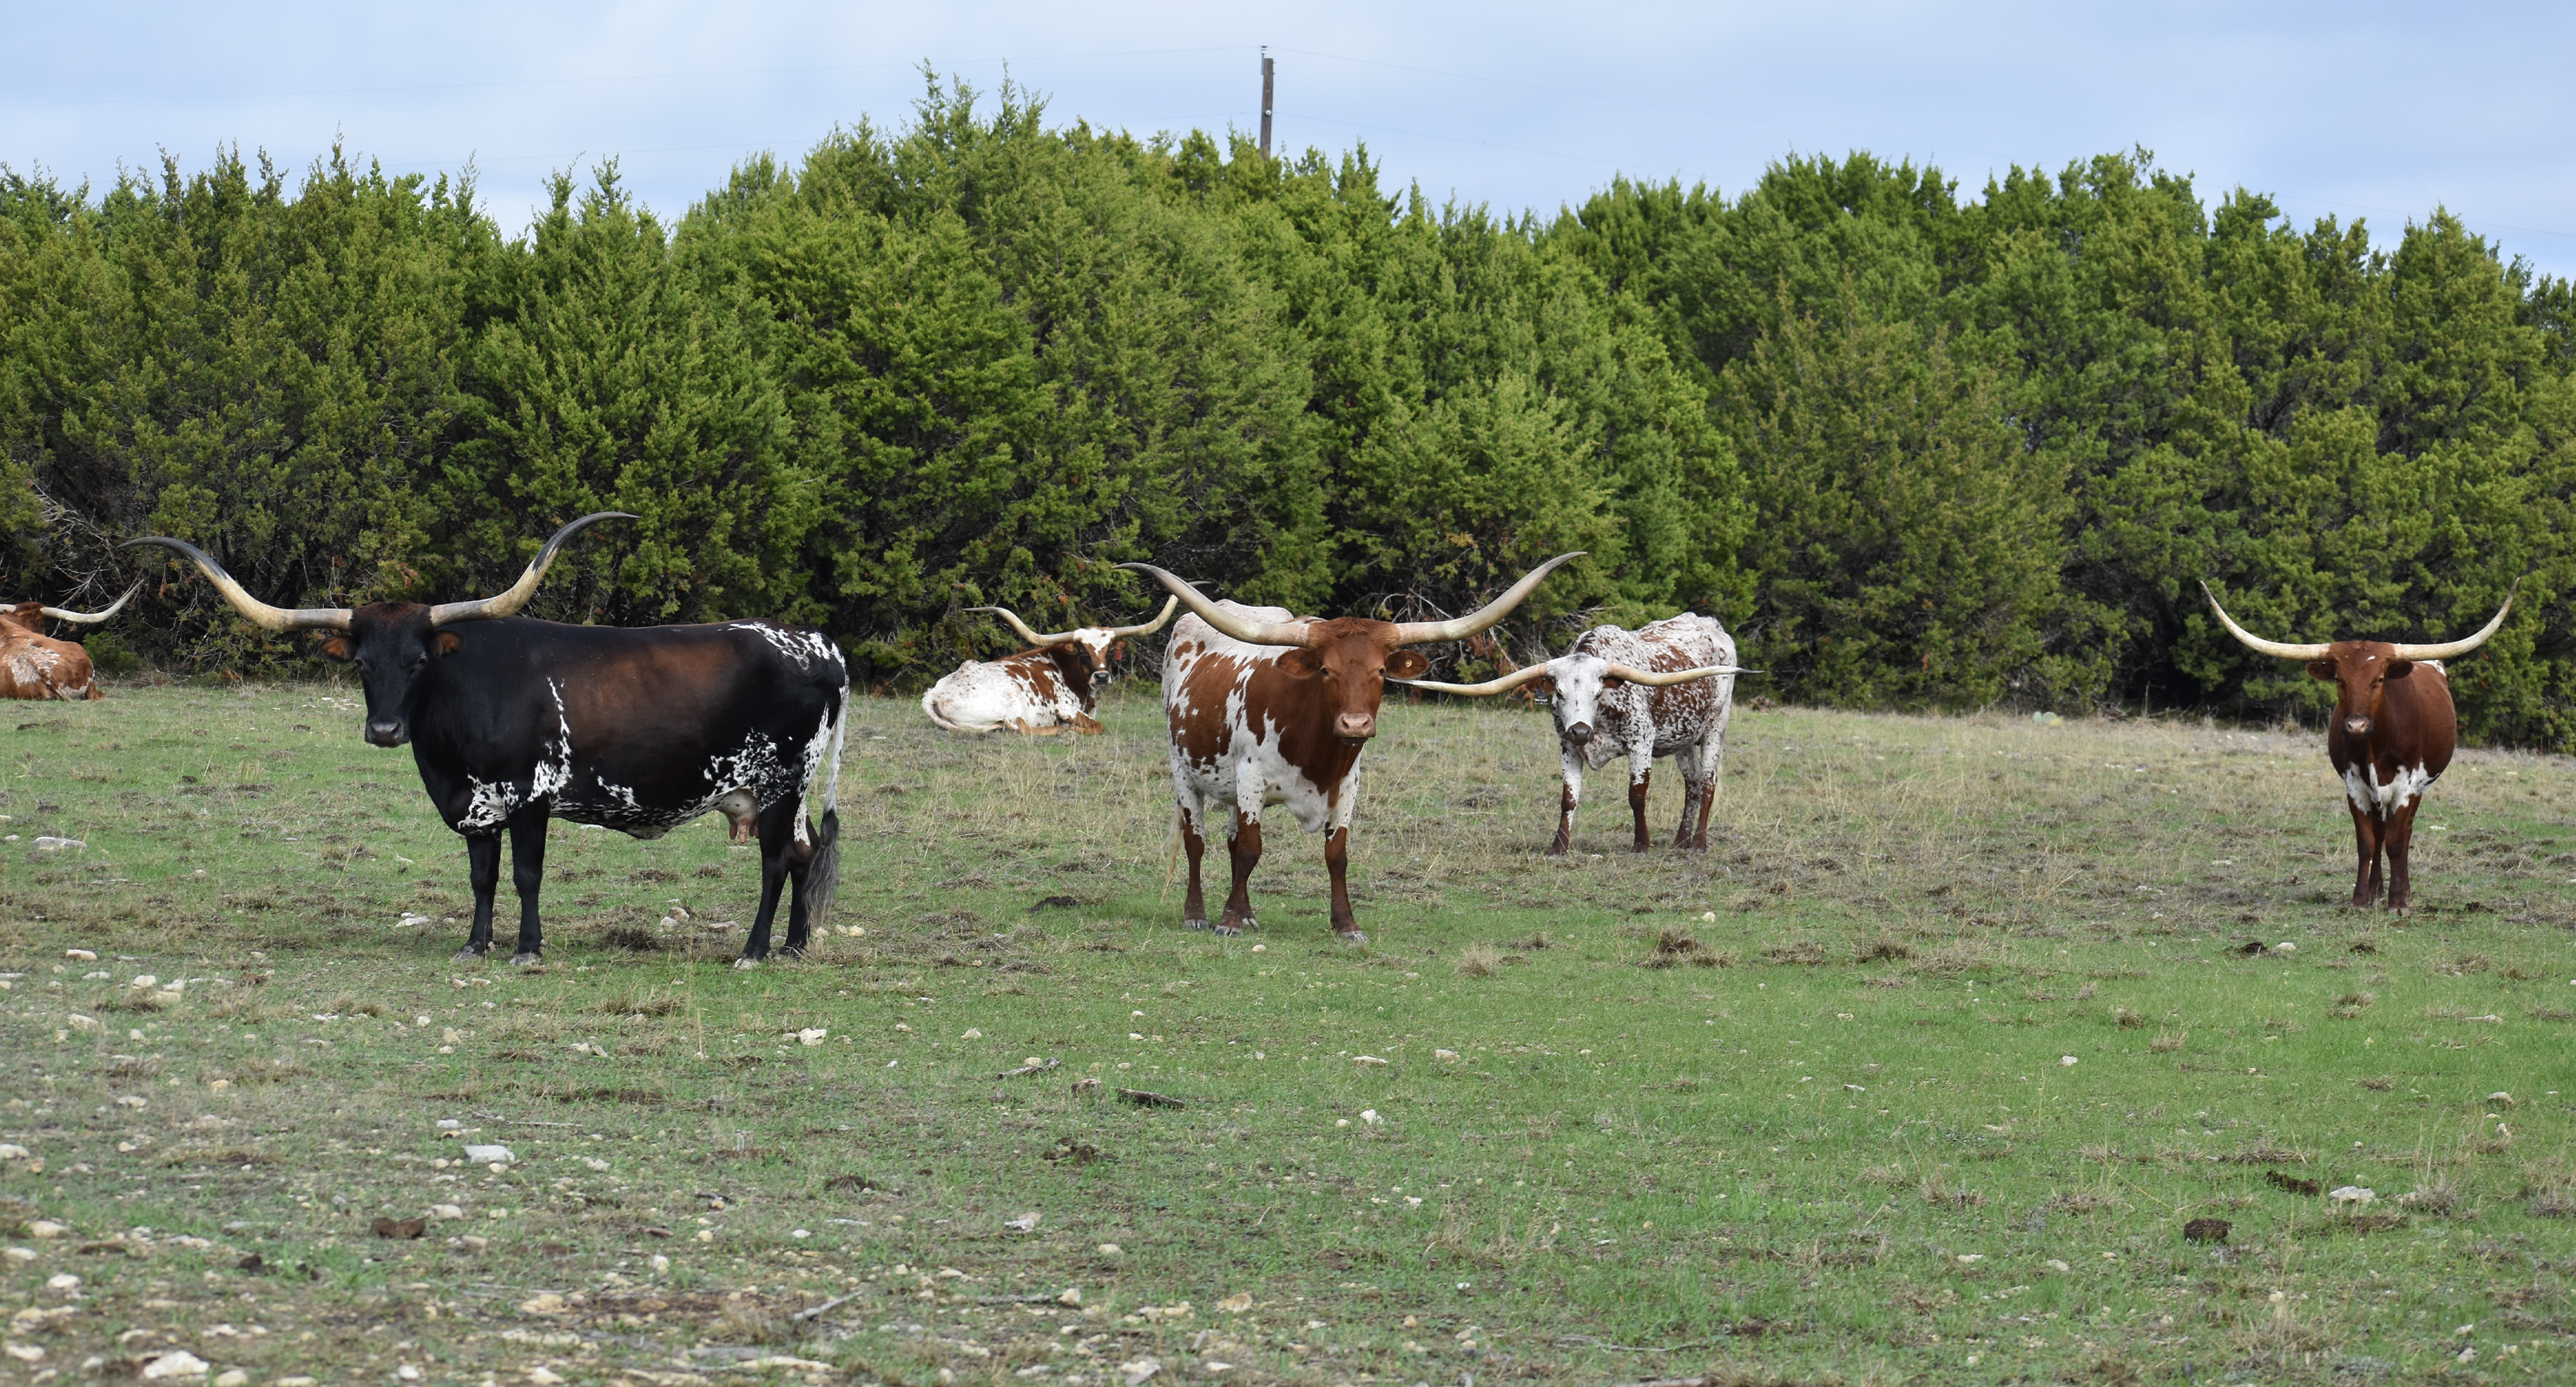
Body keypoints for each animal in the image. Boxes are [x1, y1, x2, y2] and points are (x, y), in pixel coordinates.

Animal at [916, 602, 1179, 741]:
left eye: (1110, 649)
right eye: (1083, 651)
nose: (1102, 676)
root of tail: (933, 694)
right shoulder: (1065, 707)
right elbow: (1098, 726)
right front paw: (1071, 728)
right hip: (1012, 700)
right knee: (1020, 727)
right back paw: (1062, 730)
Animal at [1118, 552, 1576, 946]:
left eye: (1381, 671)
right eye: (1325, 670)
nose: (1355, 724)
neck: (1316, 751)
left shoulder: (1348, 784)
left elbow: (1335, 854)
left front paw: (1345, 925)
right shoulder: (1251, 777)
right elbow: (1251, 849)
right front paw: (1227, 922)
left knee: (1229, 840)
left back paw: (1247, 913)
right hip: (1183, 770)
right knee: (1196, 840)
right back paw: (1196, 914)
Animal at [1401, 617, 1761, 859]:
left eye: (1597, 692)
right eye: (1559, 692)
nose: (1580, 730)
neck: (1598, 721)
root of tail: (1710, 624)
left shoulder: (1641, 743)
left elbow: (1637, 795)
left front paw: (1641, 844)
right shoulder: (1567, 748)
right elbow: (1568, 798)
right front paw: (1559, 846)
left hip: (1715, 728)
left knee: (1710, 783)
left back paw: (1698, 844)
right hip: (1682, 738)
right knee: (1693, 783)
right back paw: (1679, 842)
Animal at [2204, 584, 2524, 915]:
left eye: (2379, 679)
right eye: (2339, 680)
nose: (2356, 725)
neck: (2375, 747)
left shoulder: (2407, 786)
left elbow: (2396, 842)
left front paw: (2398, 903)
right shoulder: (2355, 786)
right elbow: (2367, 842)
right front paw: (2361, 898)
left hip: (2419, 788)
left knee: (2403, 833)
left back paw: (2402, 891)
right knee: (2380, 831)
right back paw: (2376, 891)